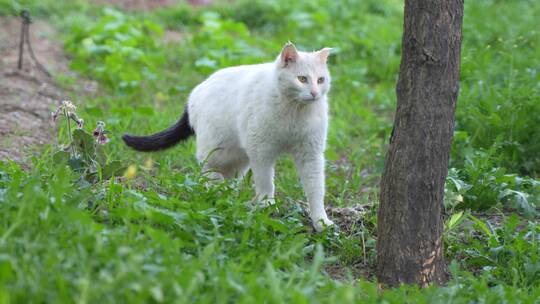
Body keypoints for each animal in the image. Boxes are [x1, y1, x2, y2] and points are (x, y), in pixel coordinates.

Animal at [123, 42, 334, 232]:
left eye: (321, 80)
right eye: (302, 79)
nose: (315, 93)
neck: (295, 111)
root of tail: (194, 94)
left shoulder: (310, 154)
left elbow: (316, 188)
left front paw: (321, 221)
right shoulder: (261, 151)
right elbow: (266, 181)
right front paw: (267, 204)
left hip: (239, 158)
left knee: (229, 176)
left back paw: (228, 194)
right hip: (216, 151)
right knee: (206, 170)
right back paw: (216, 191)